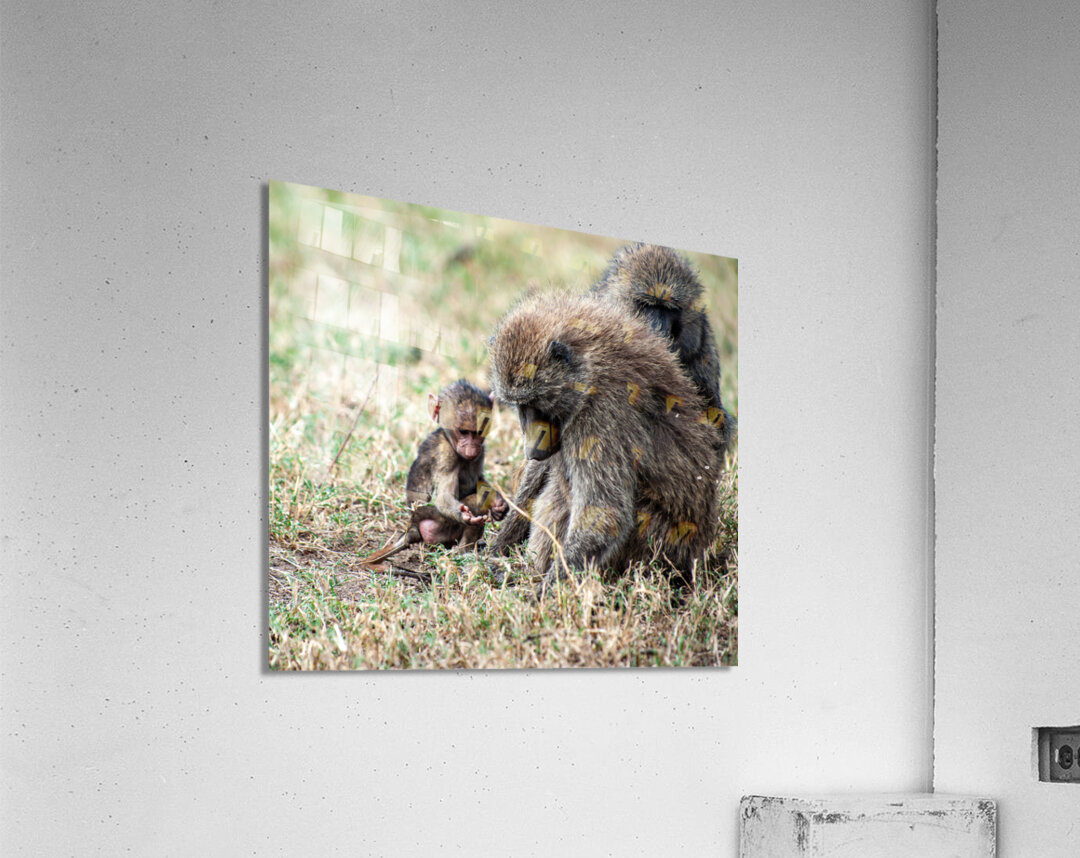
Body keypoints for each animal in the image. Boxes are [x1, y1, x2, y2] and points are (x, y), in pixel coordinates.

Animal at [362, 380, 506, 565]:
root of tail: (413, 528)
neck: (449, 439)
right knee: (477, 503)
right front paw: (465, 515)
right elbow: (443, 498)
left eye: (478, 432)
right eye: (464, 431)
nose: (472, 449)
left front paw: (499, 504)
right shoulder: (445, 454)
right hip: (437, 524)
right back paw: (463, 553)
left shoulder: (481, 452)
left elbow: (479, 480)